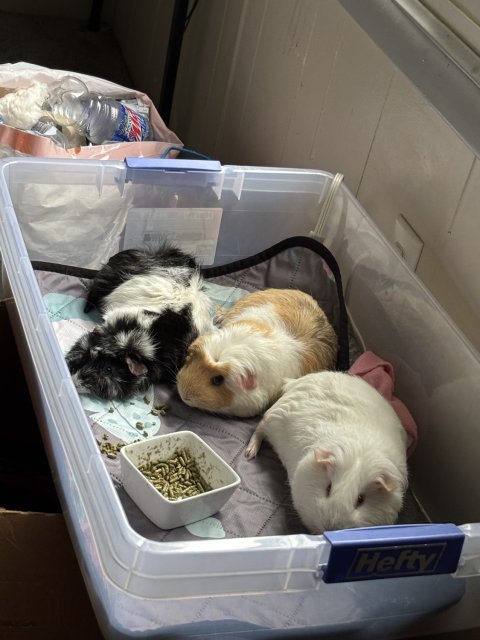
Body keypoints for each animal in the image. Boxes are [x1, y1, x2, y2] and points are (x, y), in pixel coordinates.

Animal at [244, 370, 410, 534]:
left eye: (361, 499)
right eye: (328, 488)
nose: (330, 529)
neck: (359, 454)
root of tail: (295, 383)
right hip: (271, 420)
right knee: (259, 430)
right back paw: (250, 453)